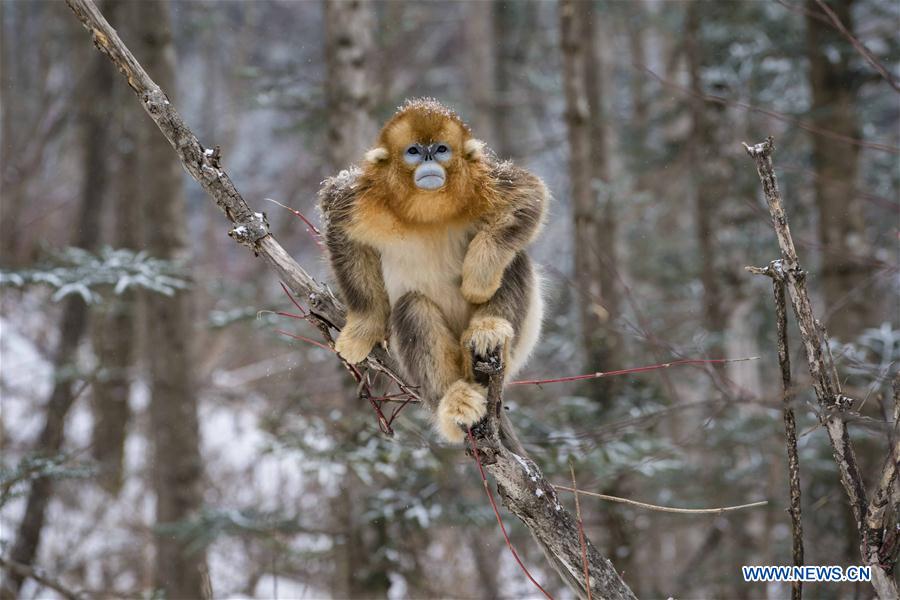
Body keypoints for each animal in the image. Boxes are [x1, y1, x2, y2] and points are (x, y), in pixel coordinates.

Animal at [319, 98, 547, 444]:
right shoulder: (358, 197)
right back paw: (453, 400)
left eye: (441, 149)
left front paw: (478, 277)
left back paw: (488, 328)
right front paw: (364, 328)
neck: (427, 209)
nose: (428, 159)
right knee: (412, 308)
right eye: (413, 151)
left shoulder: (485, 180)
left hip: (515, 348)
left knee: (514, 260)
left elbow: (529, 194)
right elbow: (342, 232)